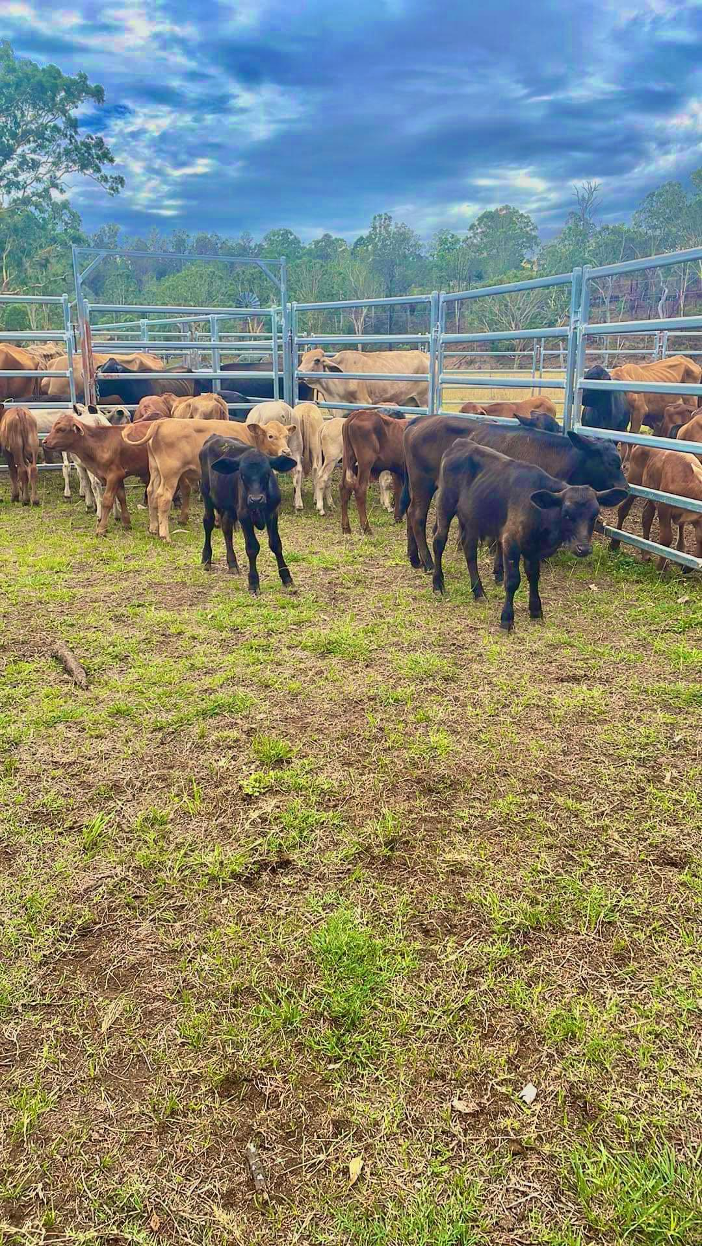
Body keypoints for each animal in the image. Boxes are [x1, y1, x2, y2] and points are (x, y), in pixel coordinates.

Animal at [122, 416, 293, 538]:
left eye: (286, 436)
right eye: (270, 436)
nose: (286, 451)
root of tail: (161, 423)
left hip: (155, 470)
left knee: (151, 493)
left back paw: (153, 527)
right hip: (170, 474)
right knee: (163, 497)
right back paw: (164, 535)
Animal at [200, 436, 296, 596]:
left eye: (267, 474)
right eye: (242, 475)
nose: (256, 499)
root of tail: (214, 436)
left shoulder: (272, 513)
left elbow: (276, 544)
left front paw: (286, 578)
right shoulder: (244, 515)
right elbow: (252, 547)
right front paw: (253, 582)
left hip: (230, 507)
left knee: (226, 527)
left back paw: (232, 563)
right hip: (206, 492)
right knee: (208, 522)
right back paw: (206, 559)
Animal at [433, 441, 625, 633]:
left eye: (594, 515)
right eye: (566, 514)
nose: (583, 548)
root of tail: (460, 443)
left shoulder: (533, 549)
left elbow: (533, 576)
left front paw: (535, 610)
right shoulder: (510, 542)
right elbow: (512, 580)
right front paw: (507, 619)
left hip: (473, 518)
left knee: (469, 550)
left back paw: (478, 591)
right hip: (445, 505)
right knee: (439, 542)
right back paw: (438, 584)